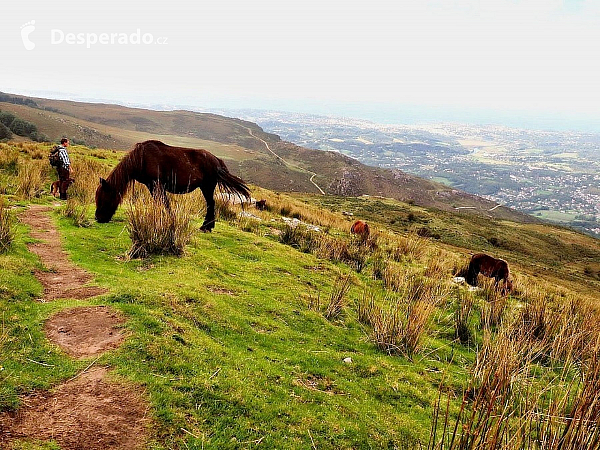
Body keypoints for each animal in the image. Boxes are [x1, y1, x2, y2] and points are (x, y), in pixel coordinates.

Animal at [95, 140, 250, 232]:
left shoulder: (157, 185)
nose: (98, 218)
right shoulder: (152, 186)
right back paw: (208, 226)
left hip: (207, 187)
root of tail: (217, 160)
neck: (141, 159)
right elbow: (160, 202)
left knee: (210, 203)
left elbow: (164, 203)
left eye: (104, 198)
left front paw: (168, 220)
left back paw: (205, 227)